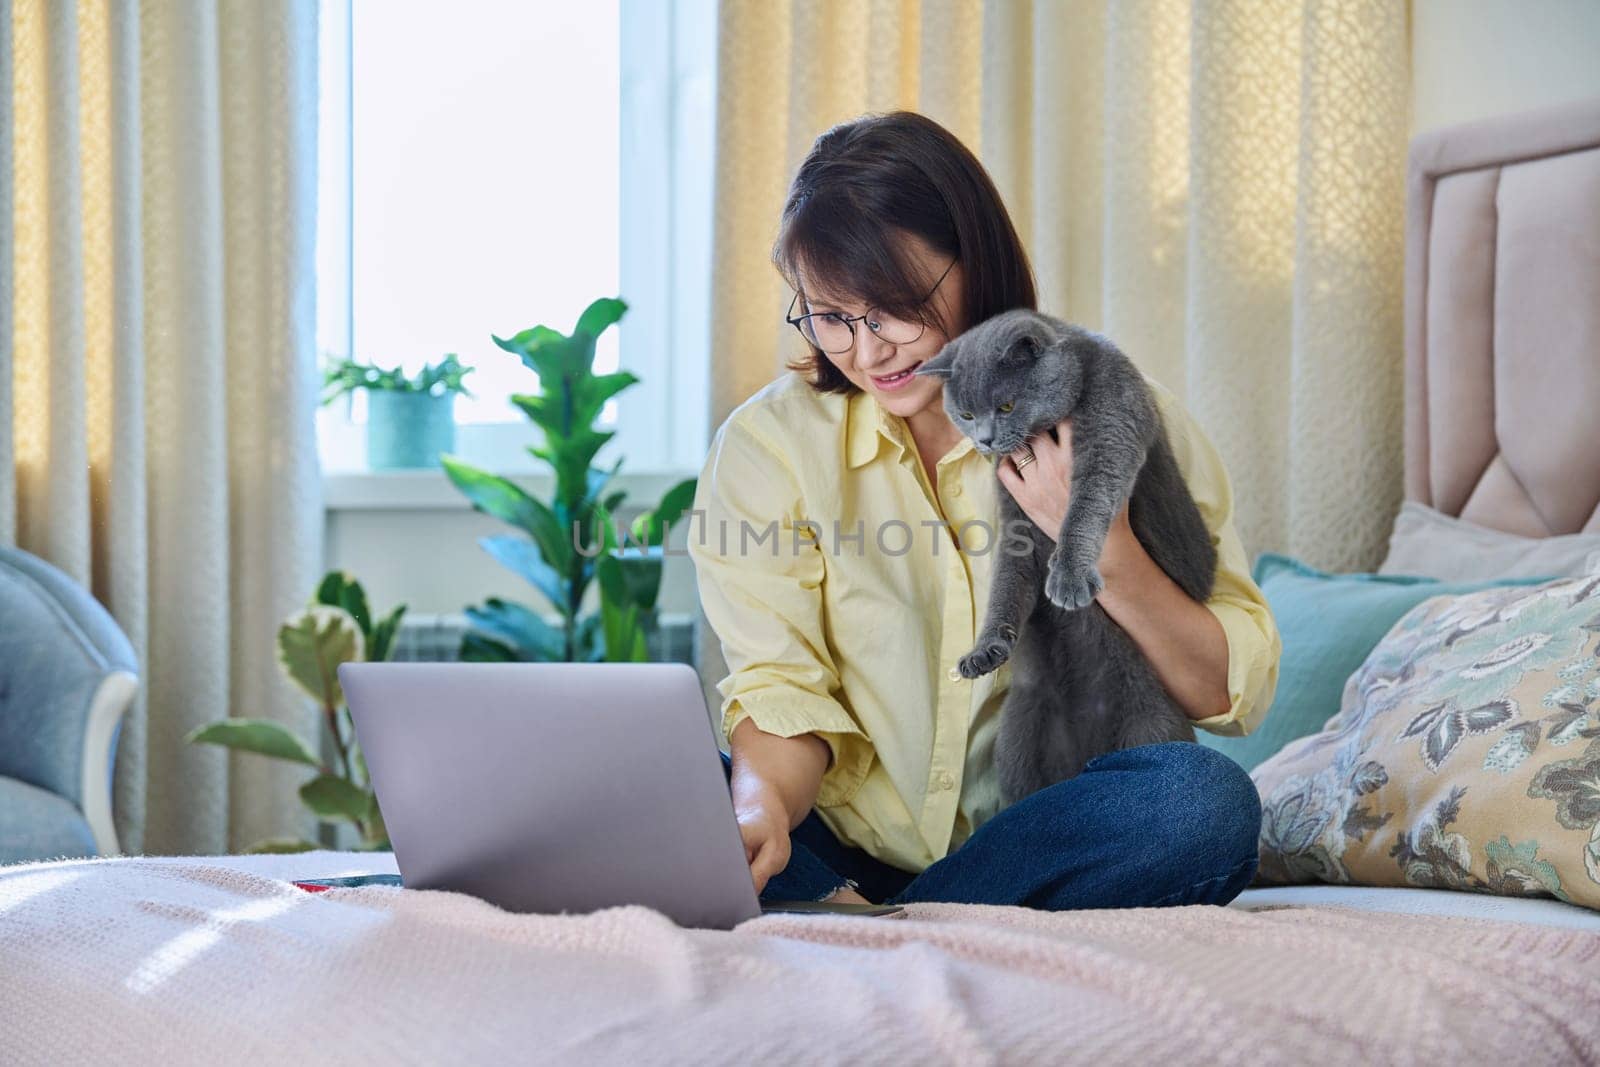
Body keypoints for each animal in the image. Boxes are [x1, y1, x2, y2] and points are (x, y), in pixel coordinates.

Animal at [915, 308, 1209, 809]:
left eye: (1006, 406)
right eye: (966, 414)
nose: (985, 441)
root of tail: (1085, 759)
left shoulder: (1112, 420)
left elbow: (1087, 502)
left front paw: (1068, 577)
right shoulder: (1014, 514)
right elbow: (1007, 585)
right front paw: (985, 649)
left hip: (1152, 722)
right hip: (1016, 743)